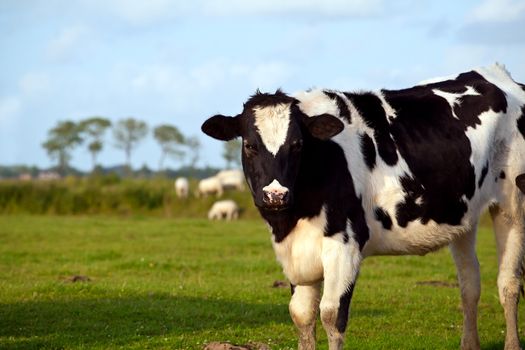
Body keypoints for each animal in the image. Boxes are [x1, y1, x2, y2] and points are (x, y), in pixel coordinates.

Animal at [200, 63, 524, 350]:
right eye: (249, 145)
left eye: (297, 144)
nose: (275, 195)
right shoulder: (296, 254)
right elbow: (302, 316)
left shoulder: (345, 246)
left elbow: (332, 316)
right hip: (462, 214)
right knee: (470, 285)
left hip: (512, 206)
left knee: (508, 284)